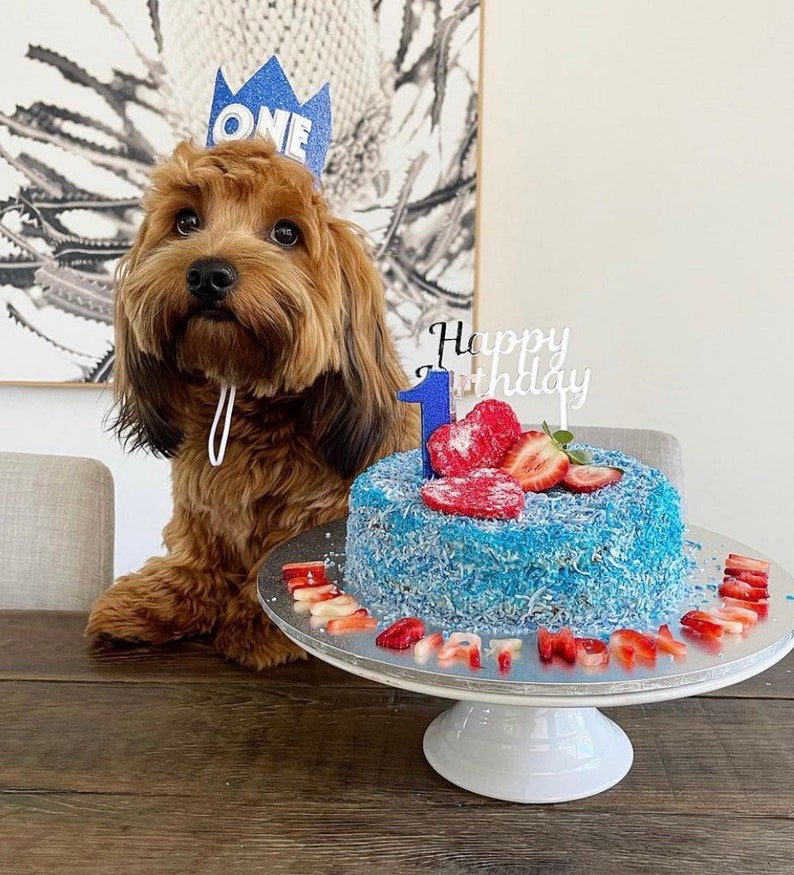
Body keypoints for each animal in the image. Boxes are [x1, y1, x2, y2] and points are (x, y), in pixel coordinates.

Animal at [86, 137, 418, 672]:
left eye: (286, 233)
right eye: (186, 221)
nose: (208, 273)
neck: (244, 399)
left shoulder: (319, 509)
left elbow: (281, 559)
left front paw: (259, 624)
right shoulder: (201, 504)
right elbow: (198, 555)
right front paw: (155, 599)